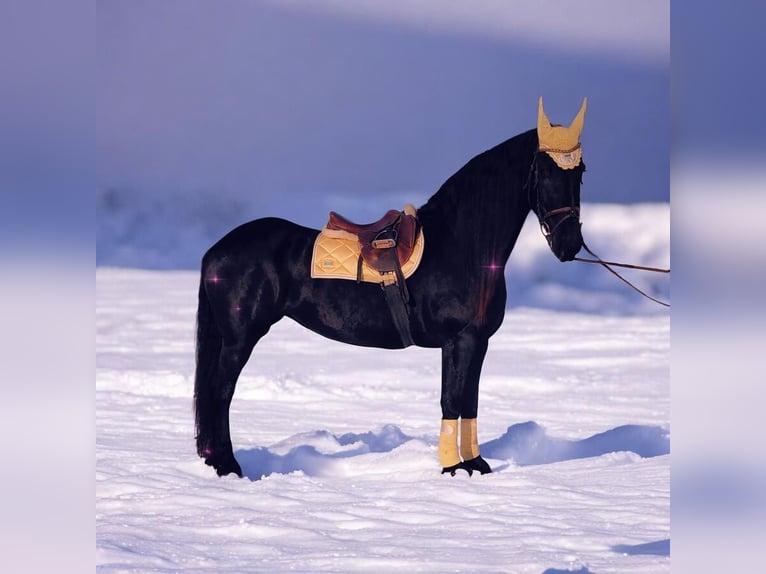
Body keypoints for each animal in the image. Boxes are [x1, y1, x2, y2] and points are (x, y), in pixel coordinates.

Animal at [194, 97, 588, 477]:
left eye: (581, 172)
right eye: (544, 170)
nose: (569, 244)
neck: (461, 244)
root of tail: (217, 249)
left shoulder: (478, 341)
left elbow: (469, 401)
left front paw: (476, 464)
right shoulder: (458, 340)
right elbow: (451, 400)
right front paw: (452, 468)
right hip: (241, 337)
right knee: (221, 392)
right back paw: (228, 466)